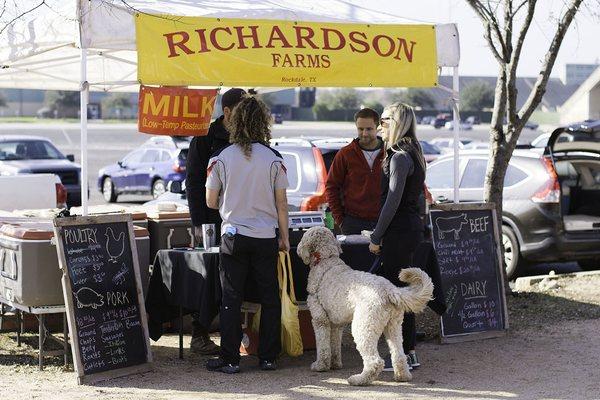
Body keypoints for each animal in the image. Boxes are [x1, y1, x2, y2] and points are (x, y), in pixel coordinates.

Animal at [298, 227, 434, 386]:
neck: (326, 259)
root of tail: (389, 289)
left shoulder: (320, 320)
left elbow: (323, 346)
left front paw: (321, 366)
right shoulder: (336, 324)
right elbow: (334, 345)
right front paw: (335, 364)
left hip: (363, 327)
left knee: (375, 361)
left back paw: (359, 379)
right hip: (393, 326)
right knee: (399, 355)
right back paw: (402, 376)